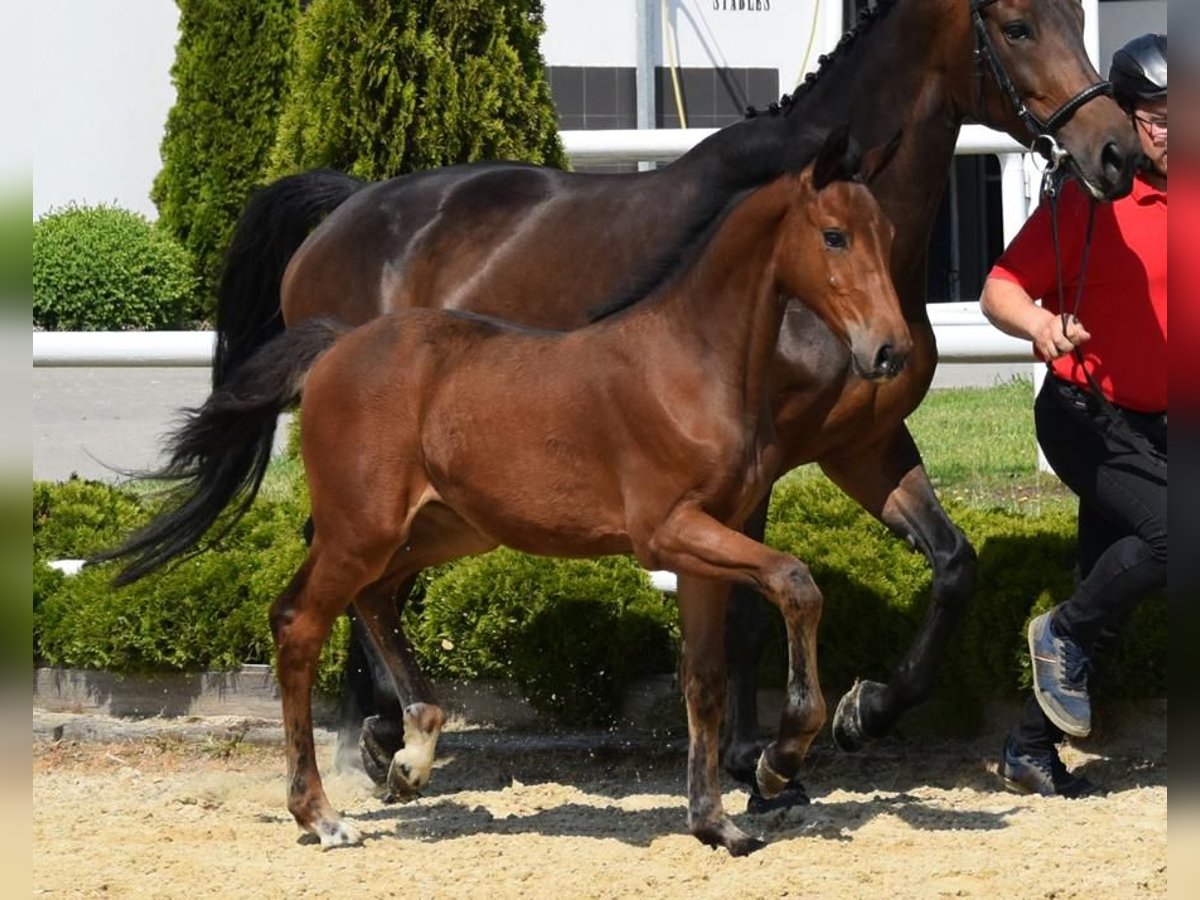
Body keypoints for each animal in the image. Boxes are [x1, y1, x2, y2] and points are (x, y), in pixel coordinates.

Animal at [103, 137, 907, 854]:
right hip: (362, 526)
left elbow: (703, 680)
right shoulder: (670, 532)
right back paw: (323, 816)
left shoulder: (710, 542)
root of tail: (335, 347)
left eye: (888, 233)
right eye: (833, 236)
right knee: (299, 622)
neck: (691, 363)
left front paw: (717, 823)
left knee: (377, 598)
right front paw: (779, 760)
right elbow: (797, 582)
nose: (889, 350)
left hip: (445, 528)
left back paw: (412, 754)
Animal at [211, 0, 1137, 801]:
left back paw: (382, 733)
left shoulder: (862, 445)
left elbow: (952, 567)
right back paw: (371, 735)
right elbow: (750, 610)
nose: (1116, 152)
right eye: (1016, 24)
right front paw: (755, 755)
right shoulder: (757, 463)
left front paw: (861, 712)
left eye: (1076, 13)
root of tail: (347, 209)